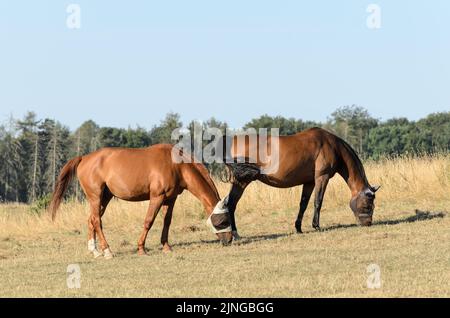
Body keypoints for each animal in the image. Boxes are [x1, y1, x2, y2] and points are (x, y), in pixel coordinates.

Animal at [48, 144, 232, 258]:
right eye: (223, 220)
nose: (229, 240)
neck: (175, 165)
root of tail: (84, 158)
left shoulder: (170, 199)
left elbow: (167, 222)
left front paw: (166, 246)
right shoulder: (156, 197)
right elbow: (148, 221)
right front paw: (141, 248)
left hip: (104, 198)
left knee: (91, 220)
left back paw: (94, 251)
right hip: (96, 197)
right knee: (96, 221)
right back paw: (107, 251)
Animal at [225, 126, 380, 238]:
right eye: (368, 204)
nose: (368, 223)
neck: (332, 145)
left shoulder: (309, 182)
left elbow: (303, 204)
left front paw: (298, 228)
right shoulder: (321, 178)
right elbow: (318, 201)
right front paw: (316, 226)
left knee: (231, 204)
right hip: (242, 181)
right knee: (231, 204)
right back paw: (235, 234)